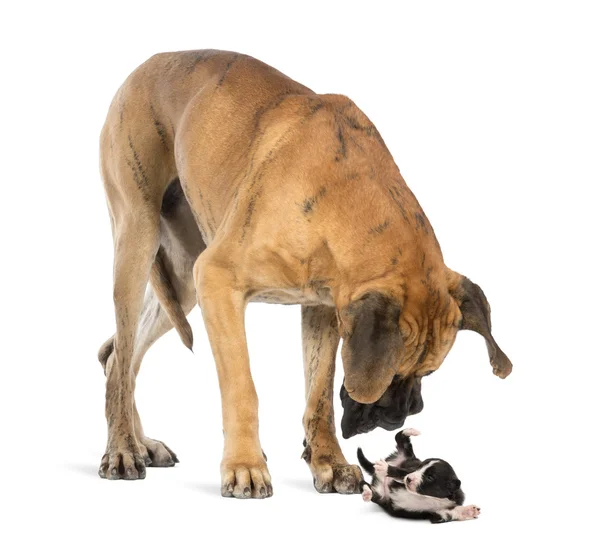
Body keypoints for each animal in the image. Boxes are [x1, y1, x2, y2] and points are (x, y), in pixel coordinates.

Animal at [97, 50, 510, 496]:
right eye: (393, 372)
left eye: (429, 372)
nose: (404, 412)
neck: (344, 199)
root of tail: (147, 64)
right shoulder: (219, 280)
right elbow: (243, 389)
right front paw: (245, 466)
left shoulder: (325, 309)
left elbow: (320, 394)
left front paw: (328, 461)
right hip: (138, 242)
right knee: (121, 360)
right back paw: (123, 449)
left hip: (183, 276)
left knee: (117, 355)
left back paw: (141, 443)